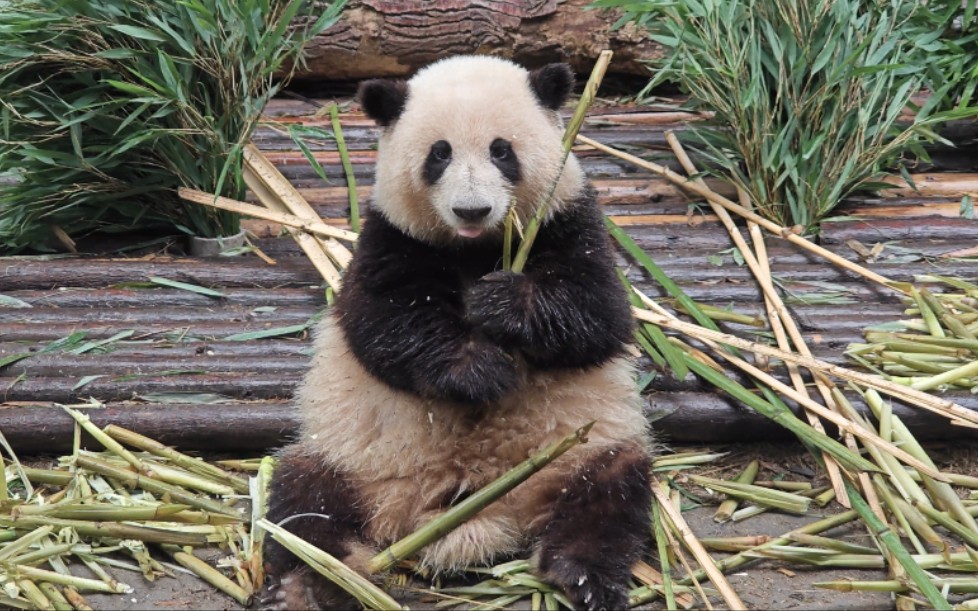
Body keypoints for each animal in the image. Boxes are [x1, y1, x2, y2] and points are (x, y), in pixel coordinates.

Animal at [264, 55, 652, 608]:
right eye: (439, 153)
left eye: (501, 150)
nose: (472, 210)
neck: (475, 247)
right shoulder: (391, 237)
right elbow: (382, 323)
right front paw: (480, 370)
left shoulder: (568, 218)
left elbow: (598, 312)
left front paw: (501, 303)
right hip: (347, 457)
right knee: (304, 504)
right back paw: (308, 584)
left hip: (577, 447)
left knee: (609, 491)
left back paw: (584, 574)